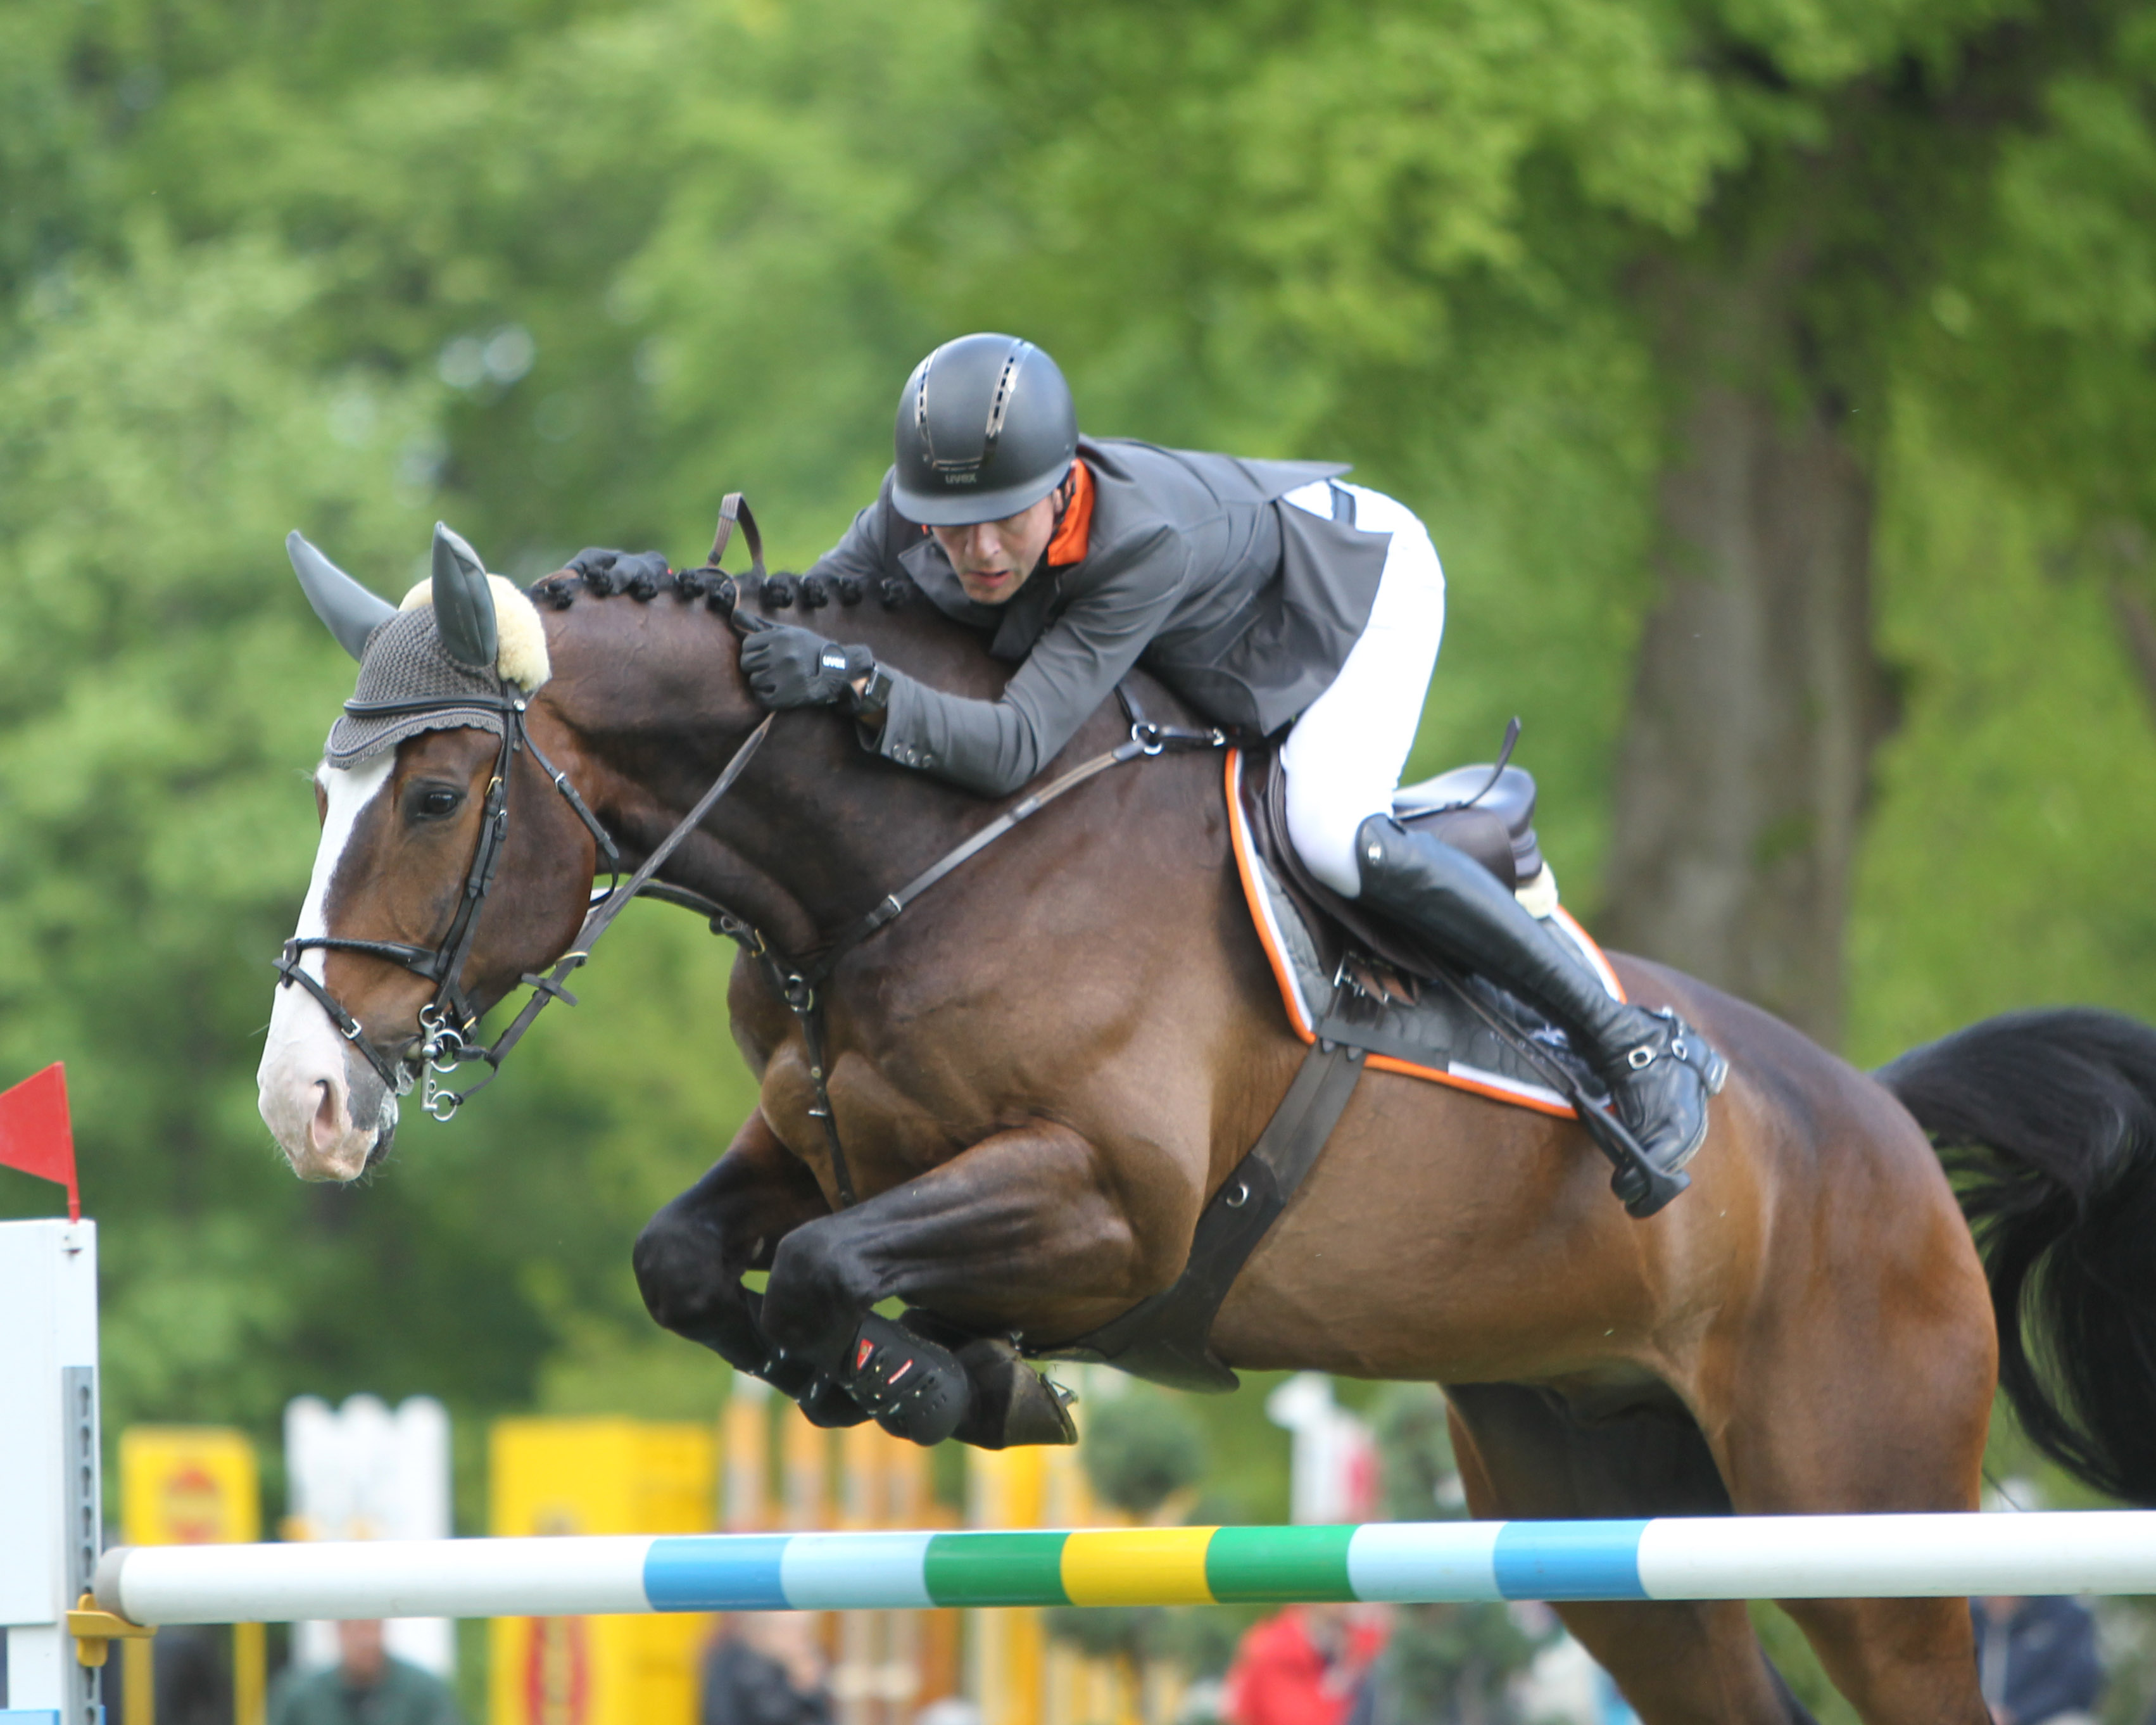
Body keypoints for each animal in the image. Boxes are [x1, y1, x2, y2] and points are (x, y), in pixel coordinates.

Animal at [256, 519, 2156, 1716]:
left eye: (434, 793)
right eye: (326, 790)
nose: (305, 1105)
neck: (909, 862)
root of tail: (1879, 1125)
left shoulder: (1113, 1209)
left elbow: (823, 1267)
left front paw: (951, 1381)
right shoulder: (809, 1145)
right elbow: (690, 1257)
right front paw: (955, 1379)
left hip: (1859, 1517)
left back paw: (1646, 1091)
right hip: (1603, 1493)